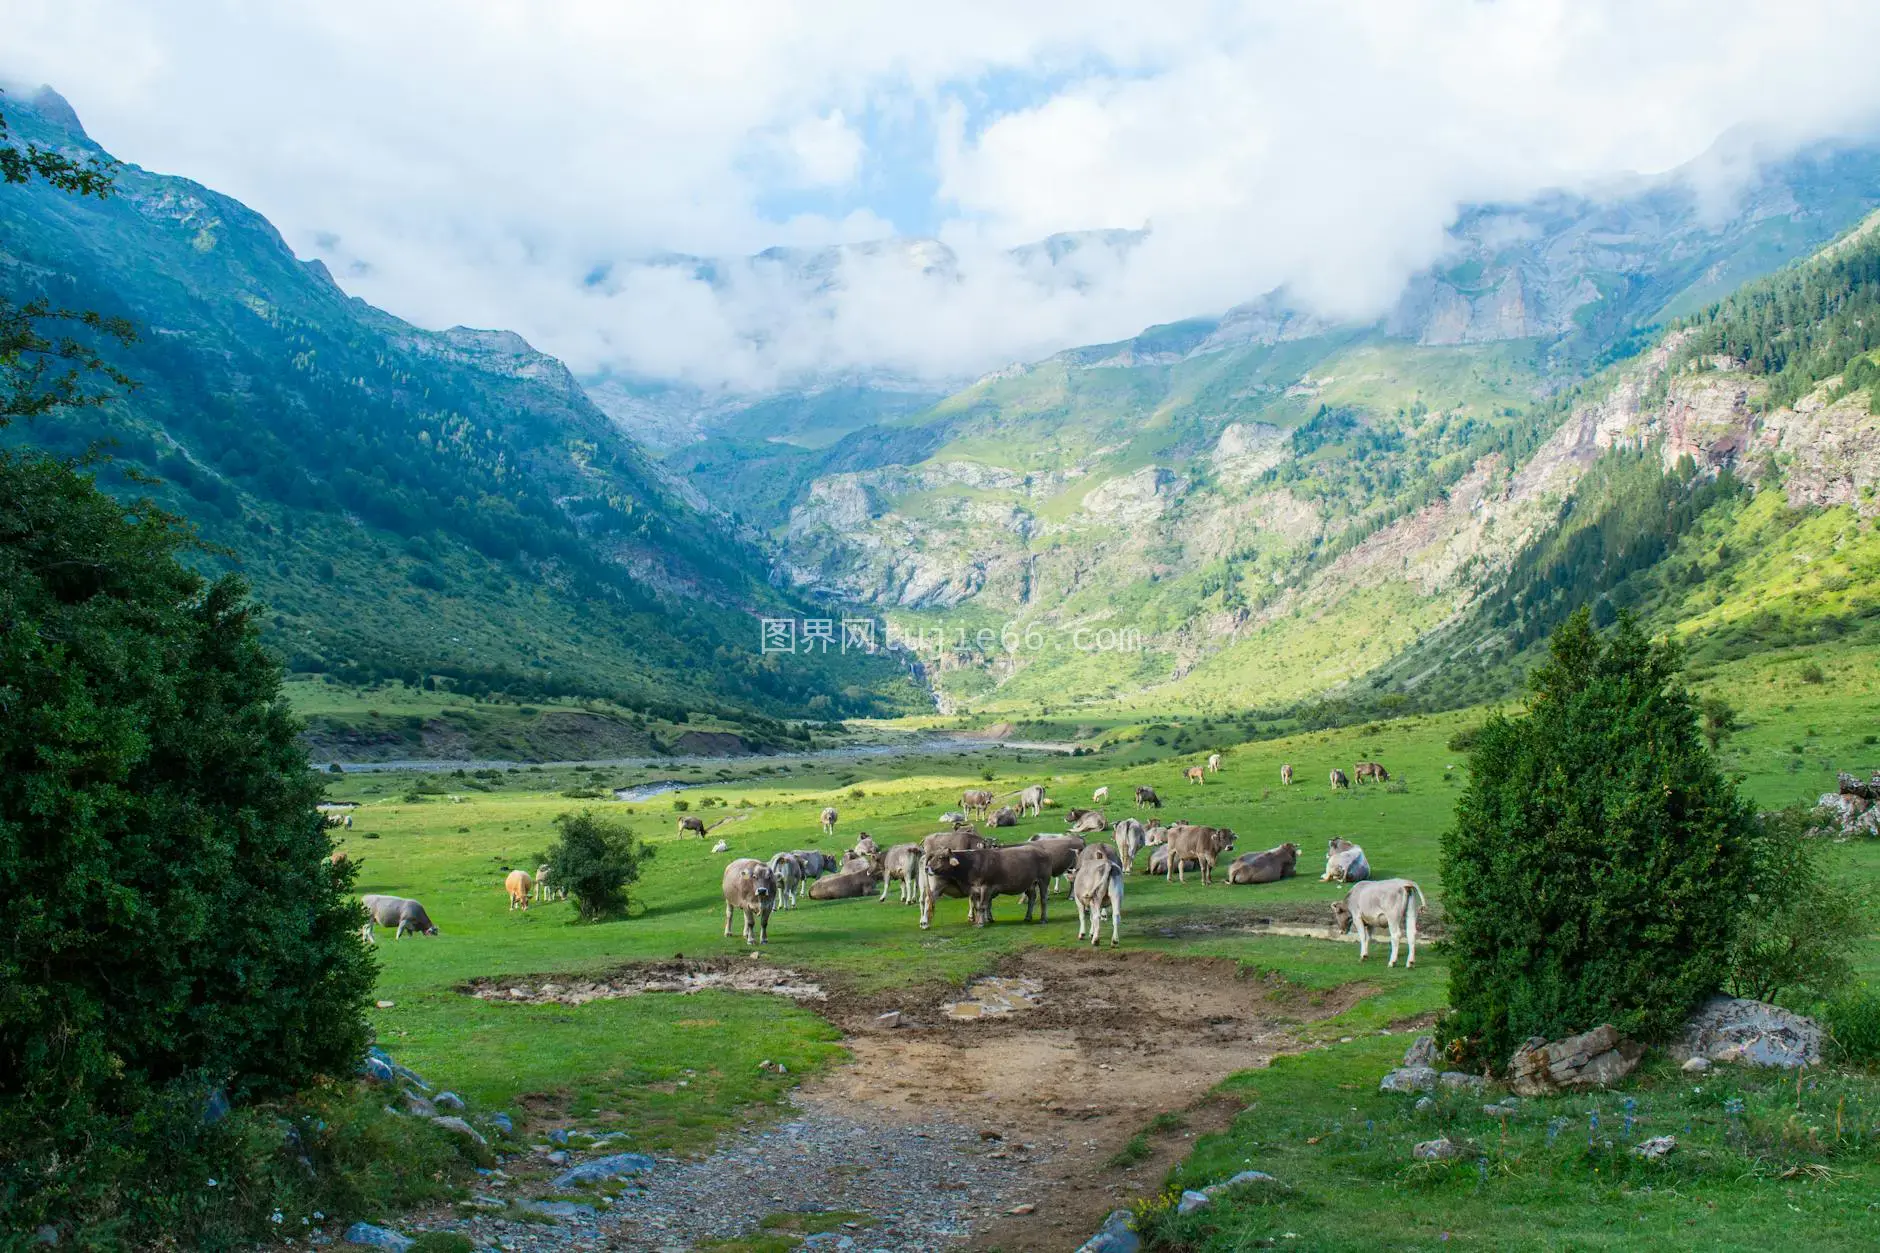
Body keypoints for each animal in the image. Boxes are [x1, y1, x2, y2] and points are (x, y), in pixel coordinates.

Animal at [924, 839, 1060, 925]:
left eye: (941, 857)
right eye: (932, 857)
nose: (927, 868)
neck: (971, 864)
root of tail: (1044, 851)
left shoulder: (986, 887)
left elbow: (983, 905)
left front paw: (980, 923)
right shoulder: (975, 889)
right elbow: (978, 906)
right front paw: (981, 920)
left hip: (1043, 880)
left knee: (1043, 899)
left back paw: (1043, 919)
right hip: (1030, 883)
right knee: (1032, 898)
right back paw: (1027, 917)